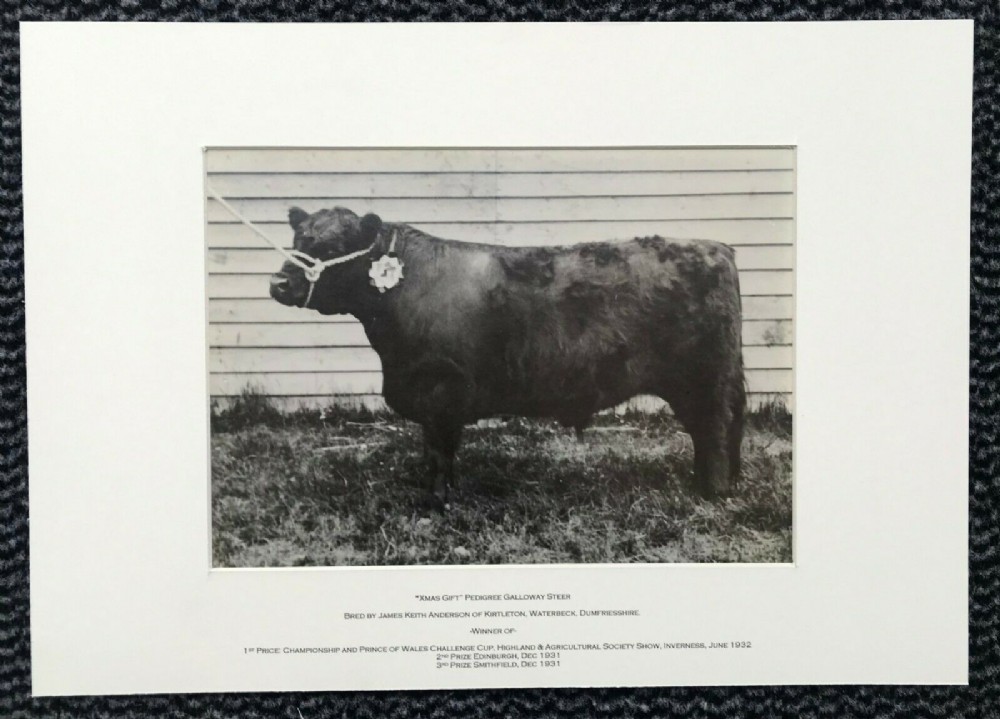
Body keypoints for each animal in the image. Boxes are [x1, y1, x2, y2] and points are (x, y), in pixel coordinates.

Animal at [269, 206, 745, 506]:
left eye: (333, 247)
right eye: (296, 239)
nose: (279, 284)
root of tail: (717, 247)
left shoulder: (439, 388)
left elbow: (438, 451)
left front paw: (434, 501)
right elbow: (440, 451)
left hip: (706, 378)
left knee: (716, 428)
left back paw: (712, 491)